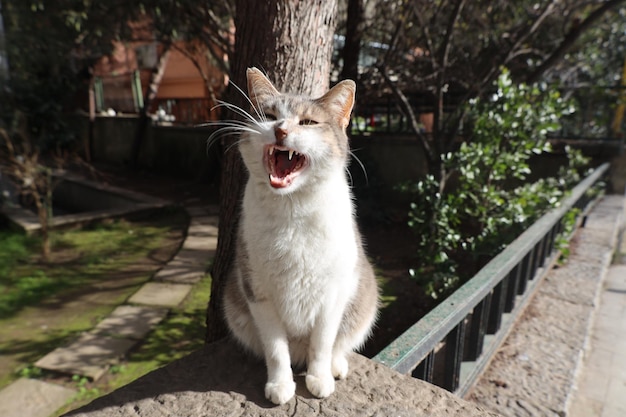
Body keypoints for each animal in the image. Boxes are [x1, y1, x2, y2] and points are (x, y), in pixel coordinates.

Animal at [222, 67, 378, 404]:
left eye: (307, 122)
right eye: (269, 116)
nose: (280, 130)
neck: (292, 211)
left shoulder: (333, 294)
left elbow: (322, 344)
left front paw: (319, 379)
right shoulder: (257, 292)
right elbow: (276, 350)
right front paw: (280, 385)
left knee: (338, 345)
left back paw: (336, 367)